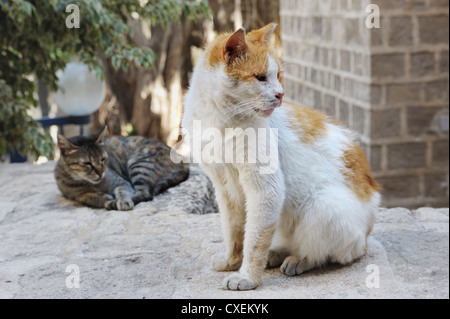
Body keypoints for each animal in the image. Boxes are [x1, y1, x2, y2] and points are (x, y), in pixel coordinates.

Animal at [54, 126, 188, 211]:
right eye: (87, 163)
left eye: (103, 159)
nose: (101, 172)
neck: (86, 183)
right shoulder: (71, 194)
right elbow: (84, 197)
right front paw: (102, 197)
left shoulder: (121, 181)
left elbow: (123, 192)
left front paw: (122, 201)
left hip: (139, 165)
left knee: (145, 194)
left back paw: (114, 203)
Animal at [181, 23, 382, 292]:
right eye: (260, 77)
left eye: (278, 75)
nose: (281, 95)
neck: (219, 119)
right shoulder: (225, 189)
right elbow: (235, 232)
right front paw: (232, 261)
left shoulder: (266, 190)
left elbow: (254, 241)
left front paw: (248, 277)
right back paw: (276, 254)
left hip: (324, 207)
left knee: (330, 254)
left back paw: (297, 260)